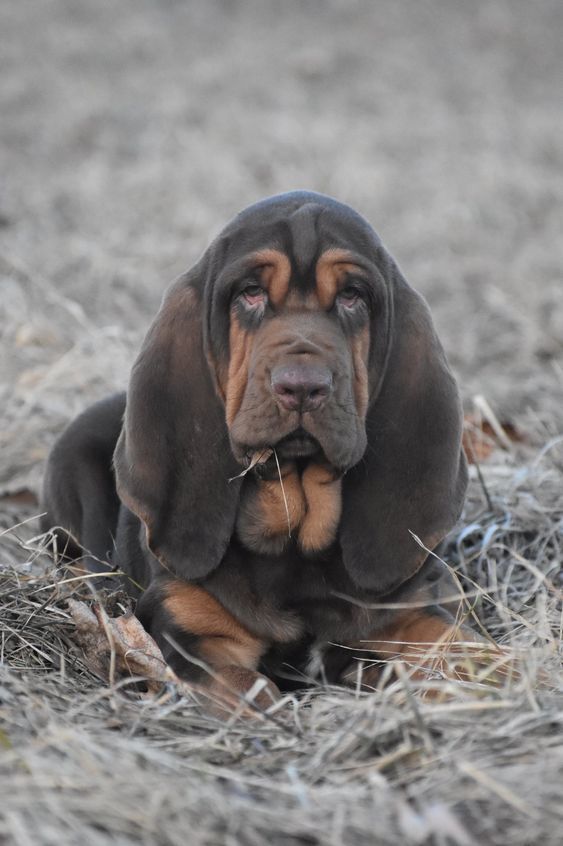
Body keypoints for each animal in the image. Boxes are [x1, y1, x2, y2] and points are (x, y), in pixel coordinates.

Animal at [41, 192, 472, 708]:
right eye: (250, 293)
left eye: (353, 296)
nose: (302, 386)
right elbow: (254, 691)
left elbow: (463, 650)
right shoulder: (191, 630)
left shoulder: (418, 610)